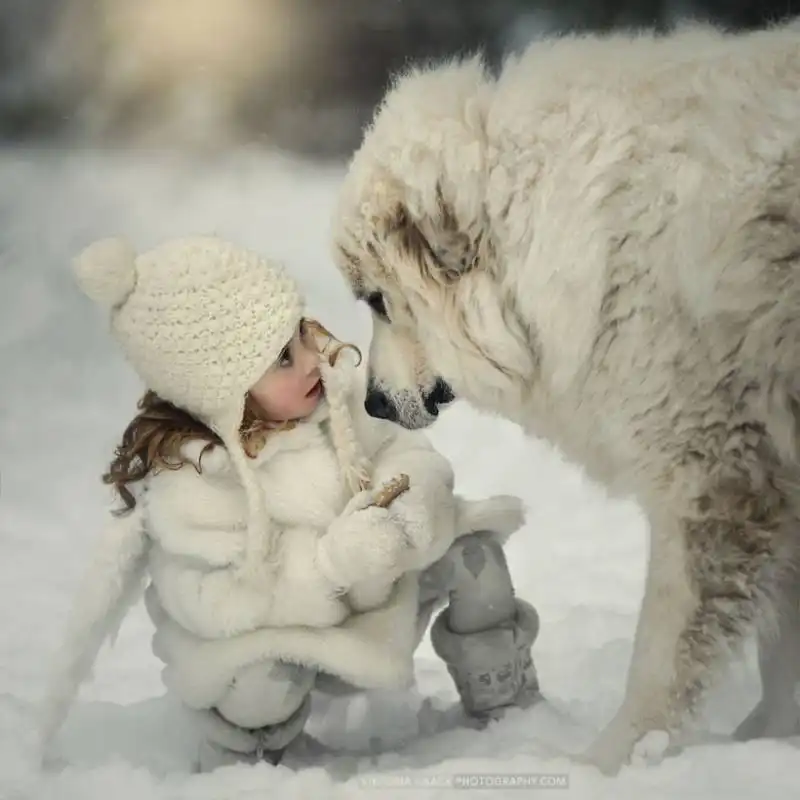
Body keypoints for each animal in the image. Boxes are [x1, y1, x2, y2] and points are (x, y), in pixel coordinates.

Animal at [330, 23, 800, 776]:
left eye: (379, 300)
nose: (372, 403)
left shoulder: (714, 482)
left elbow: (661, 658)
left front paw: (612, 764)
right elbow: (779, 644)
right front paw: (767, 738)